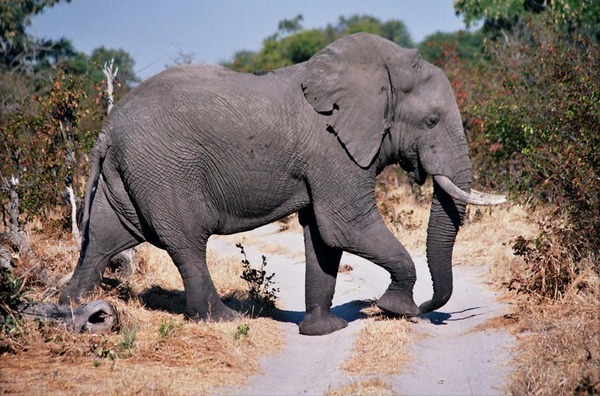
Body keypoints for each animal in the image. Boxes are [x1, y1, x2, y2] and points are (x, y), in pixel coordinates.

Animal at [59, 32, 502, 334]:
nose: (428, 307)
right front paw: (398, 310)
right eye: (431, 122)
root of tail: (107, 128)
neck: (379, 70)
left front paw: (324, 330)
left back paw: (72, 307)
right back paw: (224, 319)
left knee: (103, 239)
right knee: (186, 242)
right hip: (163, 169)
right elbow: (345, 225)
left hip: (126, 174)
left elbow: (322, 235)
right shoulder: (332, 149)